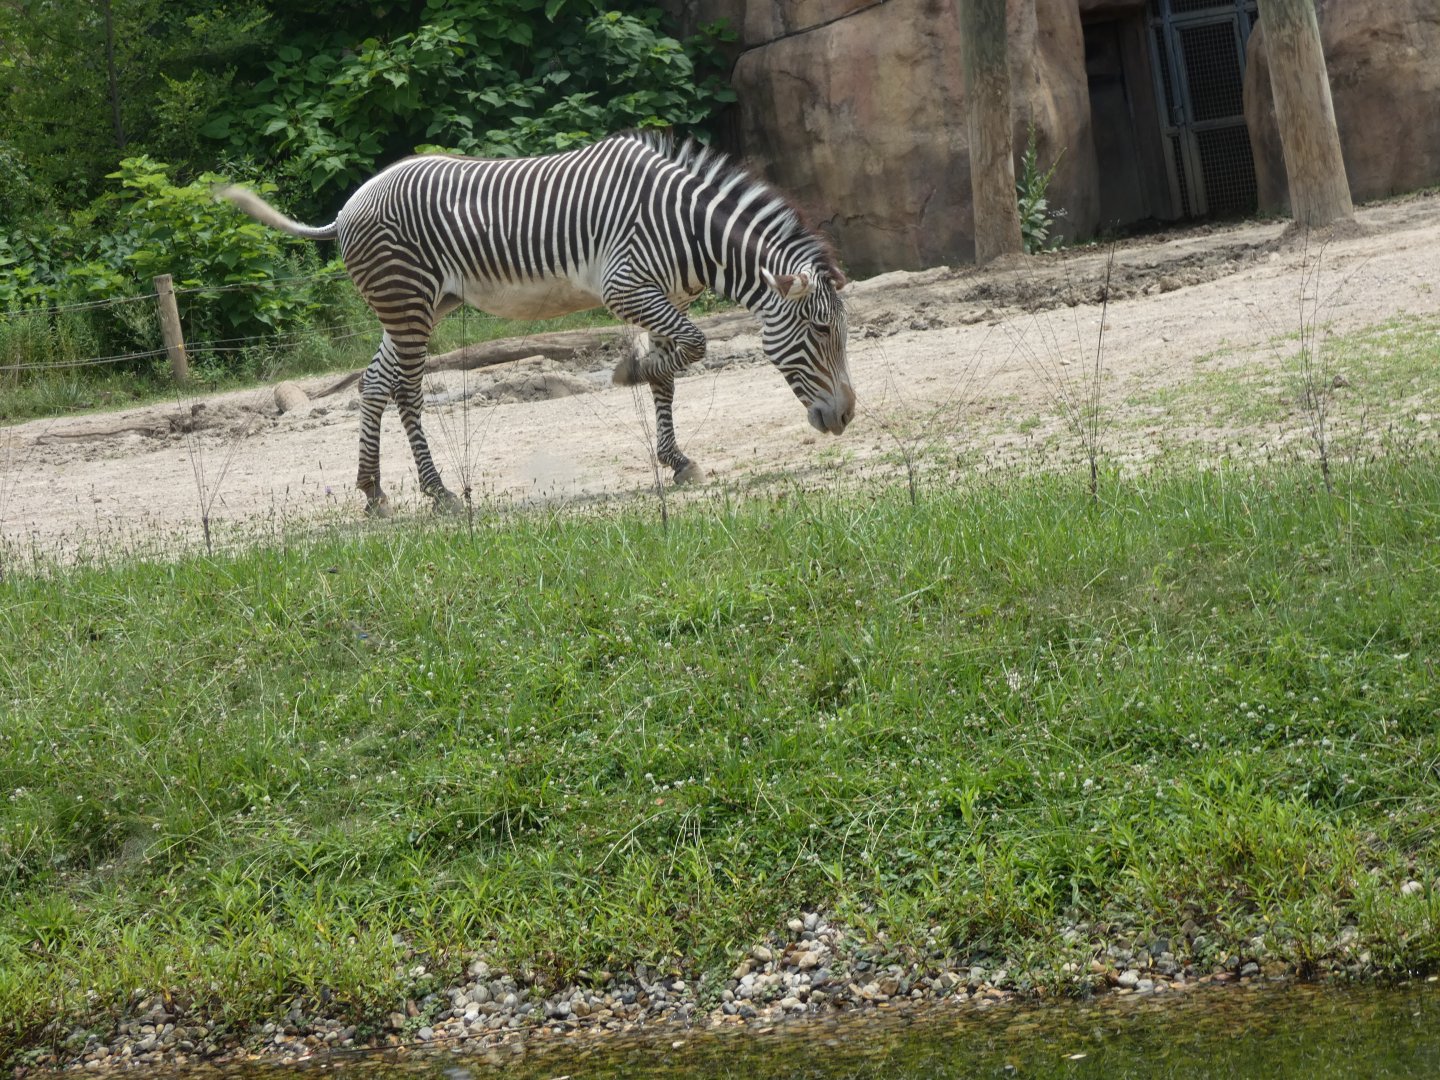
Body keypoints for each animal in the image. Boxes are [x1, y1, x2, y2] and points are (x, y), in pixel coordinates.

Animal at [217, 130, 855, 515]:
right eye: (821, 333)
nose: (846, 417)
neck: (690, 230)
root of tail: (348, 205)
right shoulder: (627, 286)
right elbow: (693, 348)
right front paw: (628, 371)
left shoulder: (663, 295)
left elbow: (670, 377)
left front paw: (675, 458)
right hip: (408, 302)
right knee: (400, 387)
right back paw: (428, 492)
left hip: (420, 305)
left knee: (380, 383)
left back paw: (381, 490)